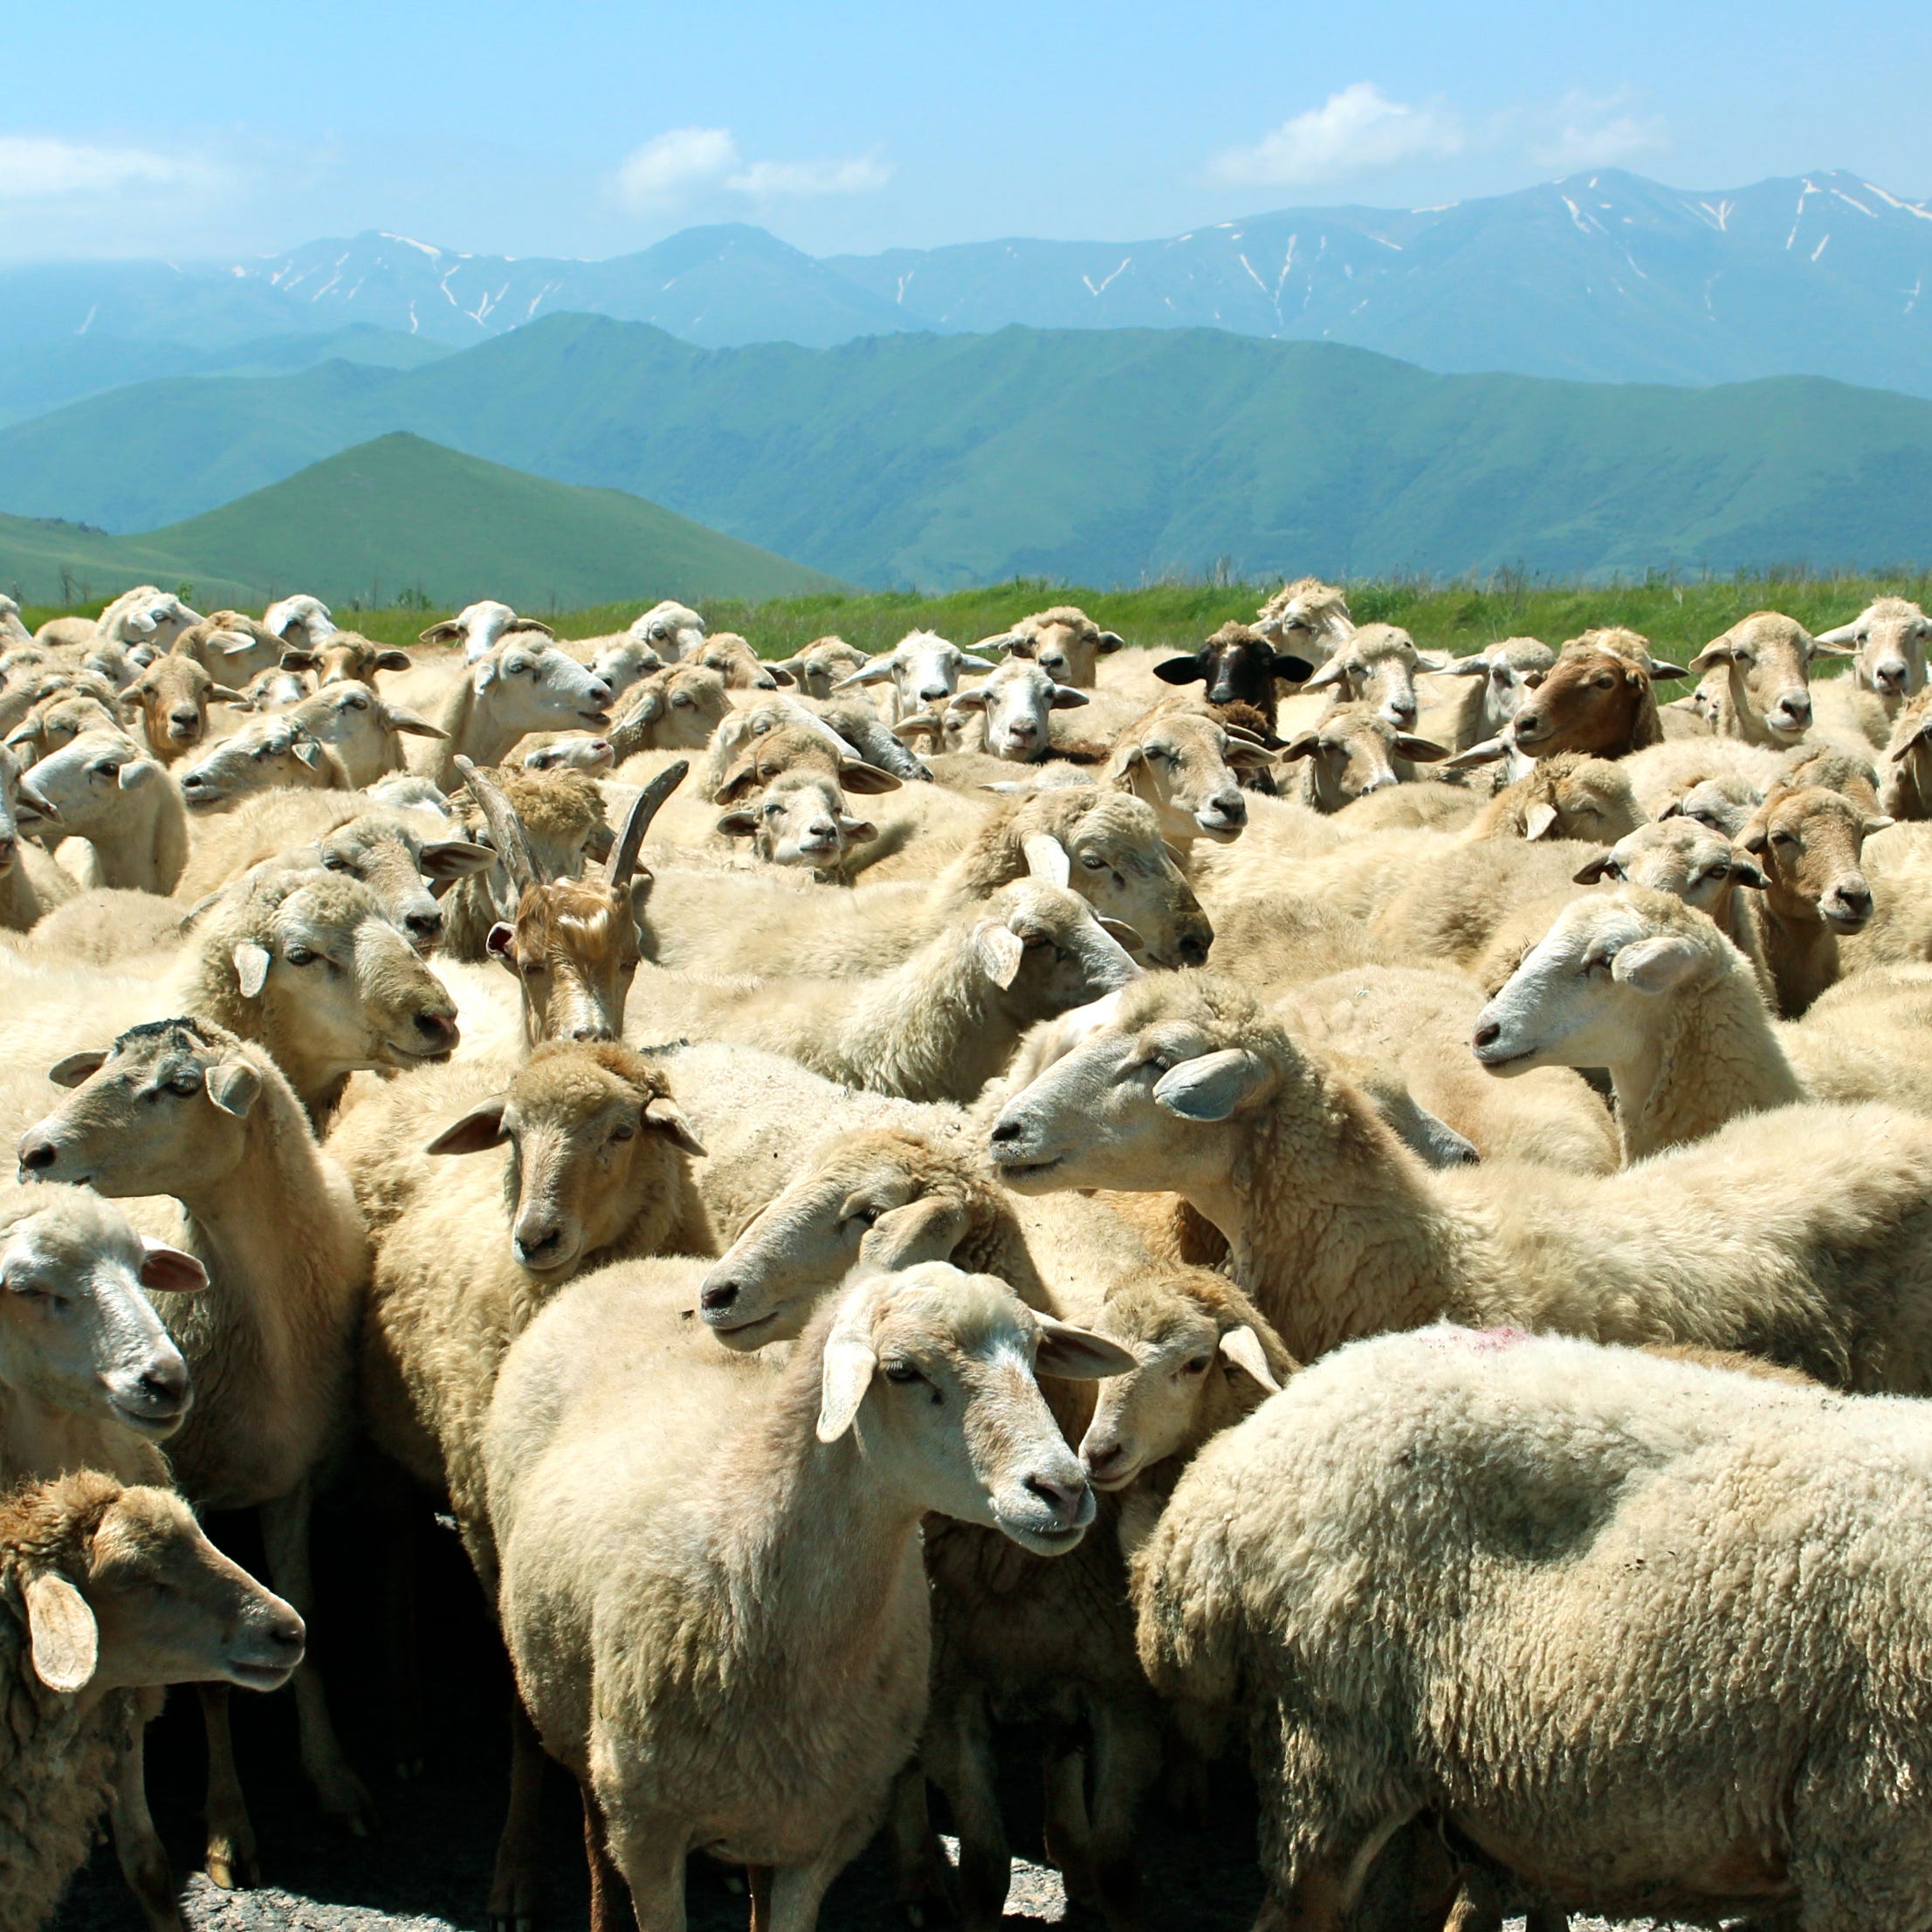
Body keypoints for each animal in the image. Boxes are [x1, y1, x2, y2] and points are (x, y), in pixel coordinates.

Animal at [18, 1017, 376, 1874]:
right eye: (107, 1067)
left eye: (181, 1086)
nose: (33, 1152)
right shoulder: (192, 1485)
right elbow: (210, 1677)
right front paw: (227, 1823)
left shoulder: (289, 1478)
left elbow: (309, 1611)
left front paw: (333, 1778)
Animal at [484, 1260, 1127, 1932]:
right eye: (901, 1370)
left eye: (1033, 1355)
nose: (1063, 1489)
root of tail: (628, 1267)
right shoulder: (648, 1828)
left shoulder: (827, 1828)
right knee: (579, 1802)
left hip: (776, 1797)